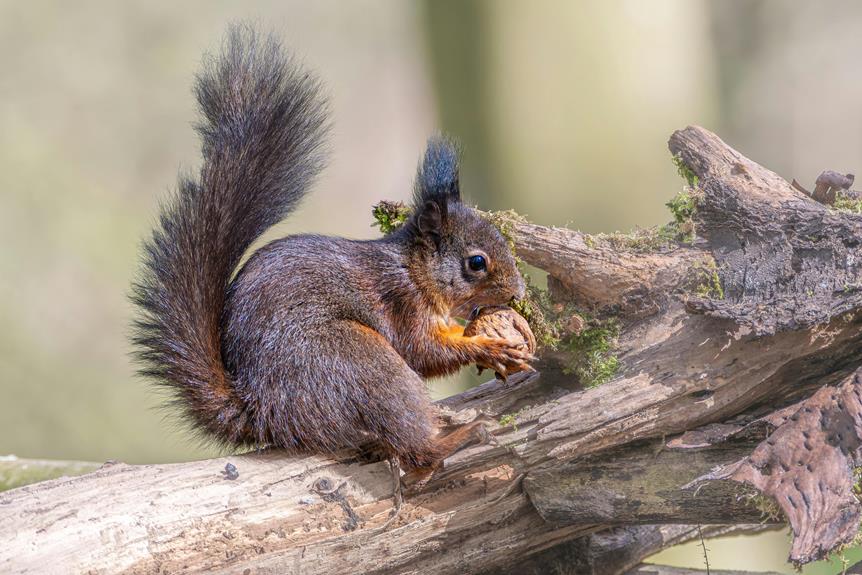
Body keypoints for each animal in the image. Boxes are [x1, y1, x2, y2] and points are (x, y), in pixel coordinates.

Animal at [132, 25, 532, 472]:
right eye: (476, 262)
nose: (518, 293)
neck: (414, 271)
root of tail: (264, 409)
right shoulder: (401, 304)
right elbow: (424, 352)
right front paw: (490, 347)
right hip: (359, 360)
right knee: (415, 448)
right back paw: (462, 435)